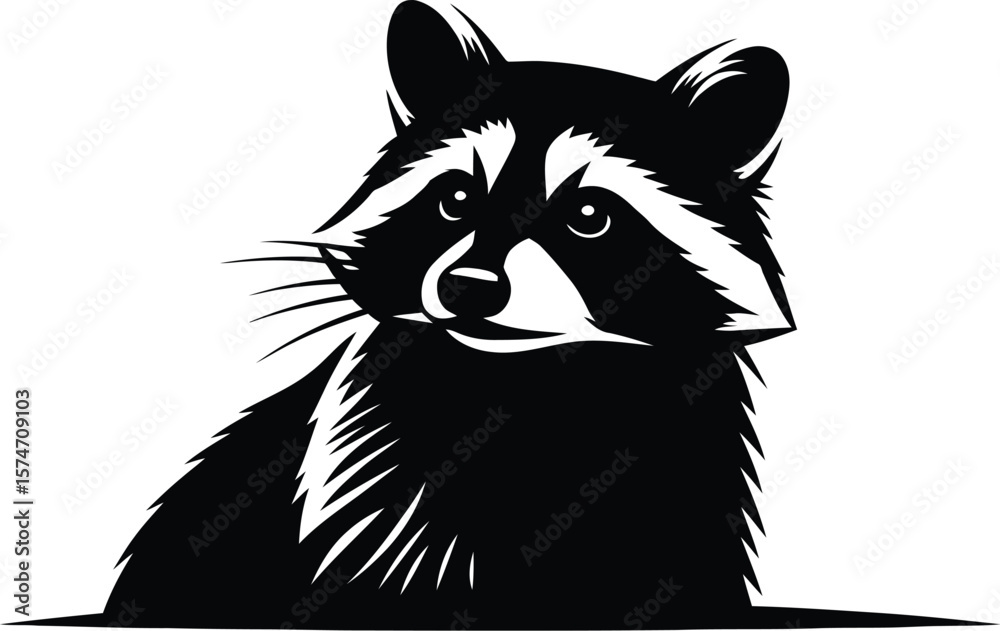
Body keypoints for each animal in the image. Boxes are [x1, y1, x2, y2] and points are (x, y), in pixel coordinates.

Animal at [46, 3, 961, 630]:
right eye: (456, 199)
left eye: (588, 216)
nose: (470, 287)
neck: (526, 385)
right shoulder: (372, 485)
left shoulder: (674, 482)